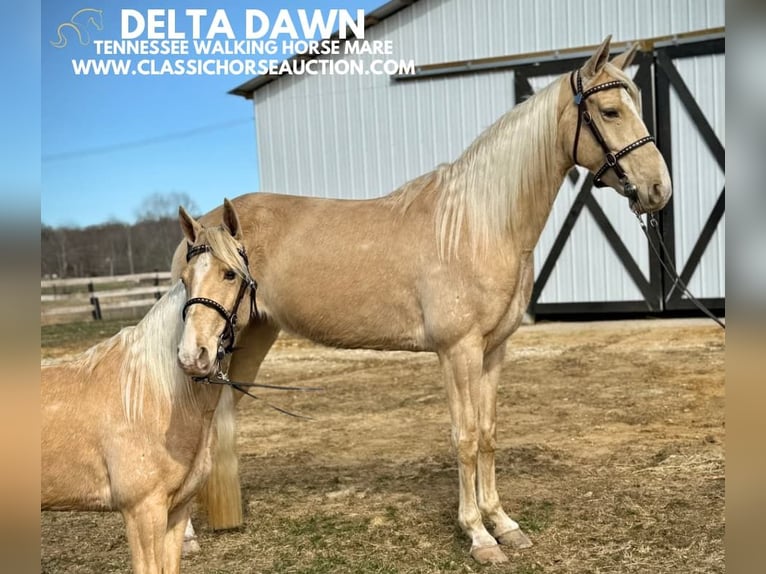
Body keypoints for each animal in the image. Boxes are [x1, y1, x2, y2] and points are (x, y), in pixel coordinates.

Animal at [42, 200, 256, 572]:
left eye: (229, 274)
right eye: (185, 279)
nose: (192, 355)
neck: (150, 396)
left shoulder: (176, 512)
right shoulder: (142, 512)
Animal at [172, 36, 672, 568]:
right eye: (610, 110)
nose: (658, 189)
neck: (478, 223)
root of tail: (200, 227)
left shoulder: (494, 351)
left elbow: (488, 434)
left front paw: (505, 524)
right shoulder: (458, 351)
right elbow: (465, 437)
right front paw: (478, 535)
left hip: (244, 341)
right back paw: (184, 537)